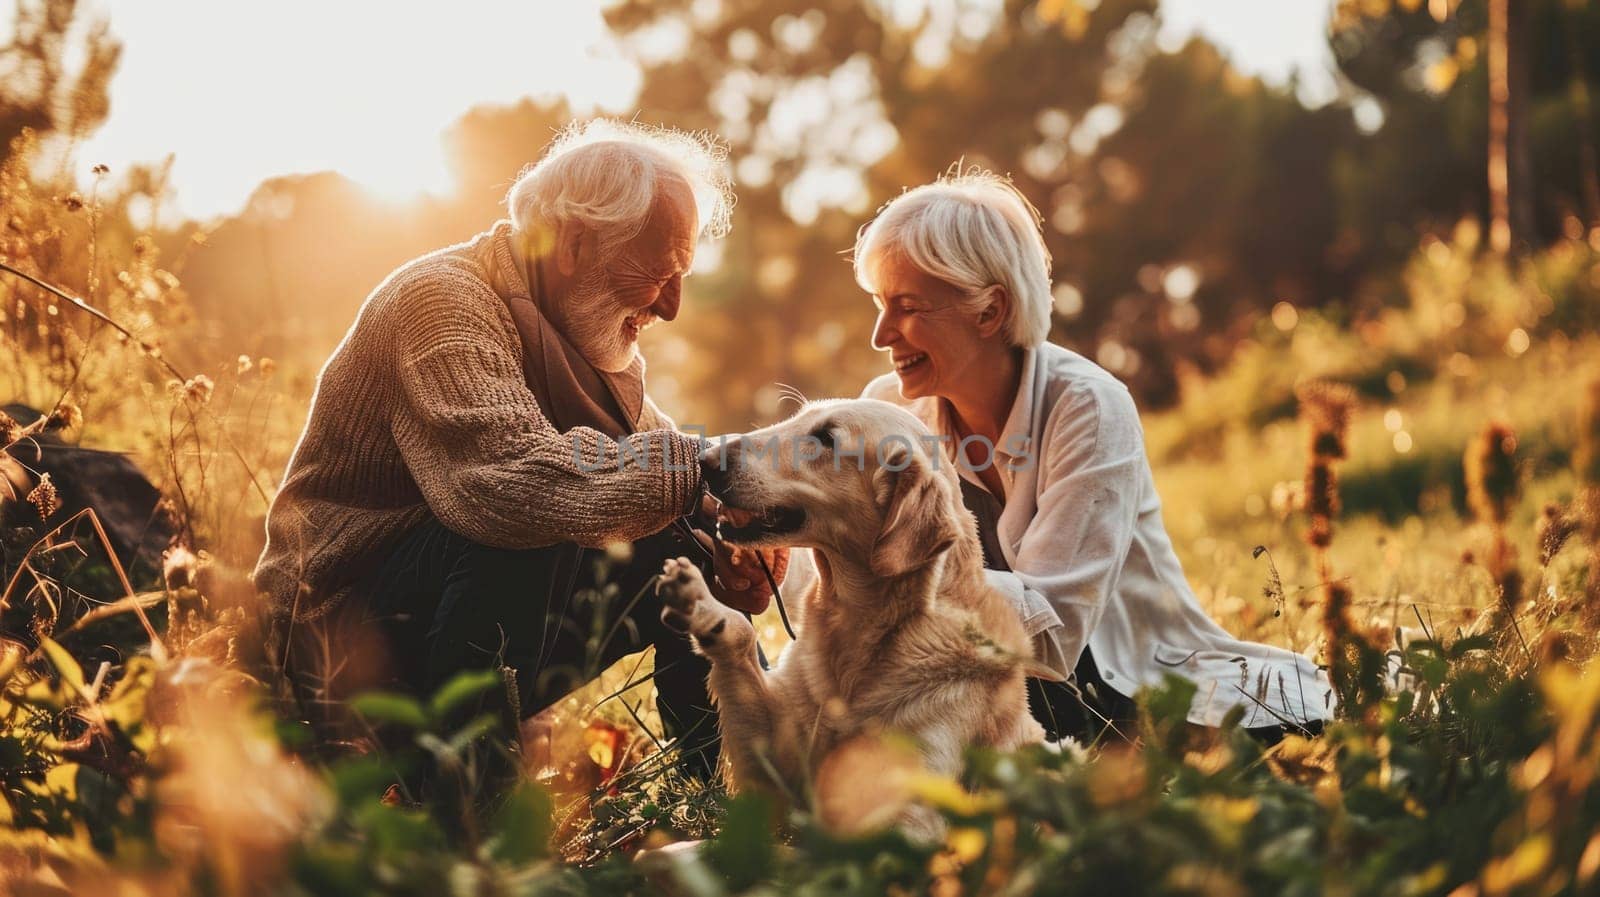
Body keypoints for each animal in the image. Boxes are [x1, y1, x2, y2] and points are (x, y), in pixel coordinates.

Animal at [656, 396, 1056, 831]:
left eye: (826, 438)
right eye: (798, 417)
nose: (705, 460)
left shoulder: (912, 814)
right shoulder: (775, 759)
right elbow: (743, 640)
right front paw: (698, 601)